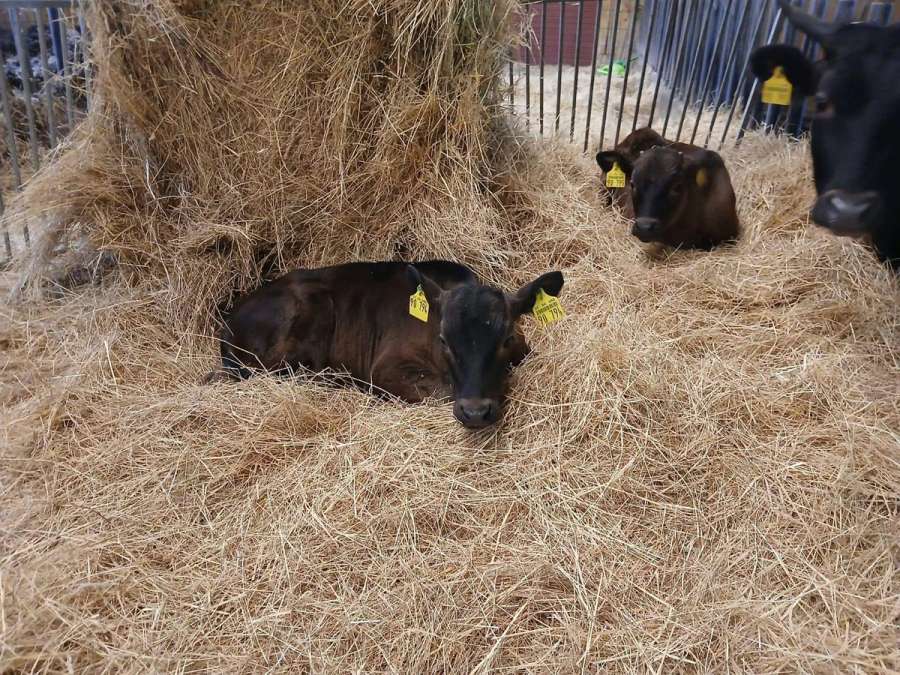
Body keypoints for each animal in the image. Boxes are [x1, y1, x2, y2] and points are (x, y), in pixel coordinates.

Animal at [208, 261, 564, 429]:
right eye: (443, 340)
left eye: (506, 338)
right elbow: (440, 392)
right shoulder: (387, 368)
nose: (475, 412)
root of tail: (228, 319)